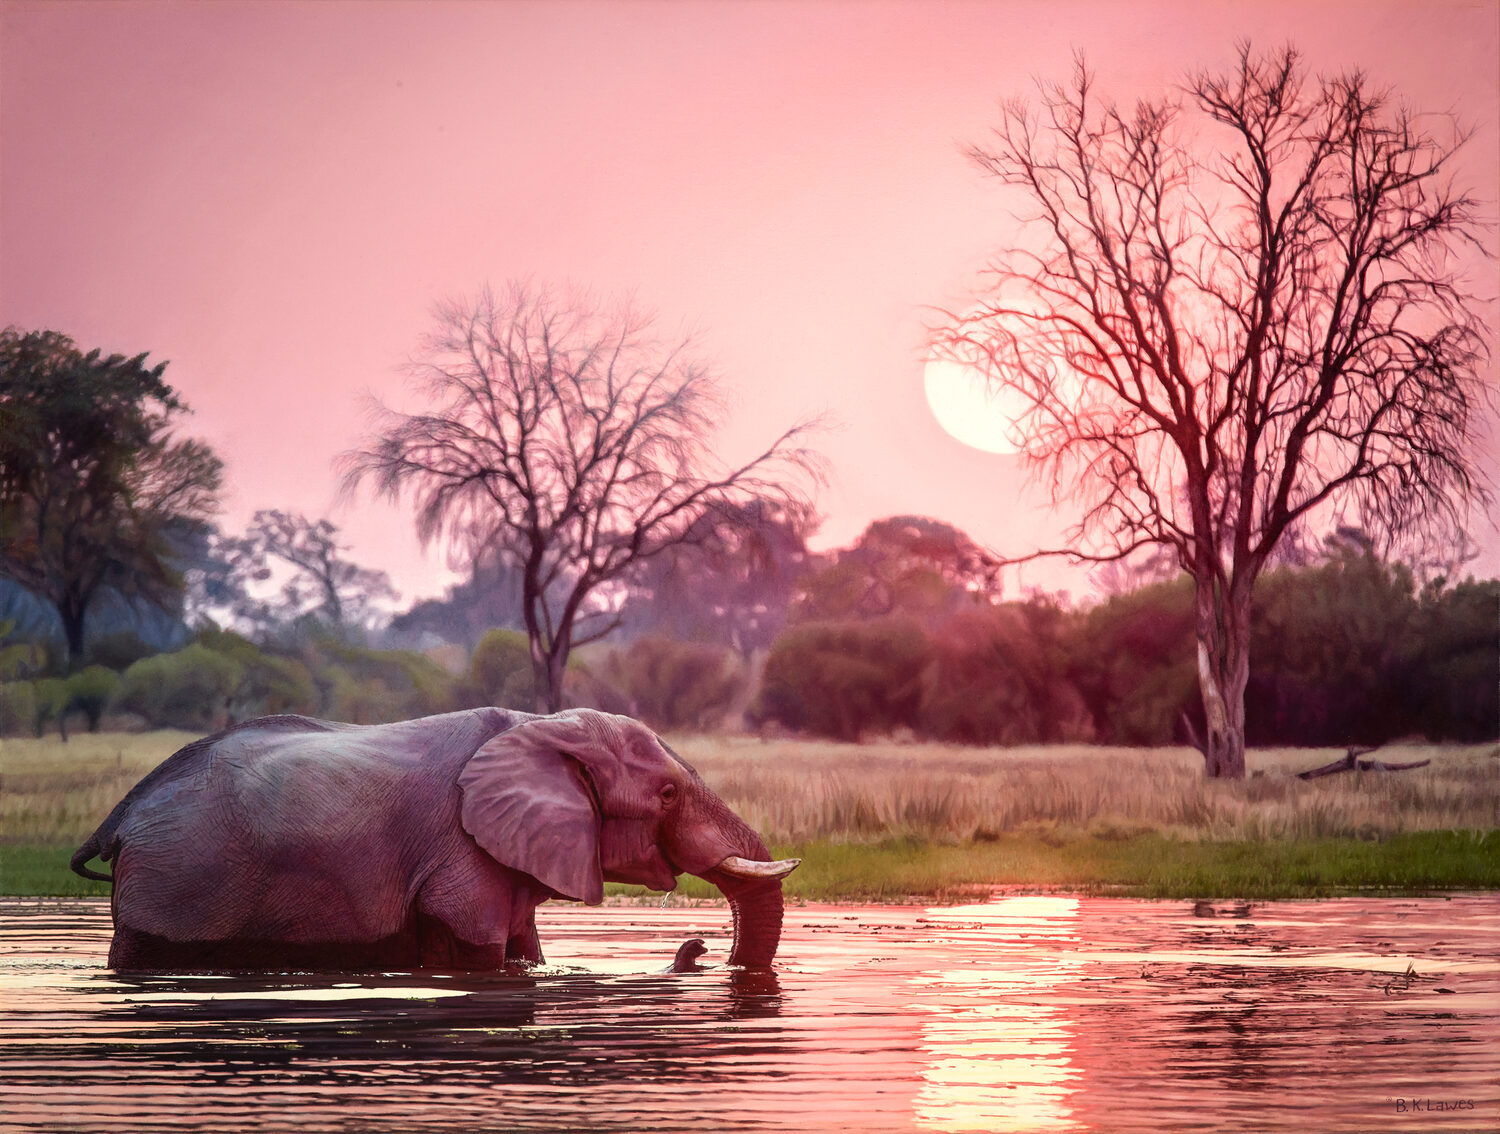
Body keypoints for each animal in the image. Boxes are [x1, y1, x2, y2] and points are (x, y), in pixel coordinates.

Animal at [70, 707, 798, 973]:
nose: (697, 946)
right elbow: (479, 952)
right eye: (668, 795)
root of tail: (122, 816)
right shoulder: (462, 852)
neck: (542, 723)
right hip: (175, 879)